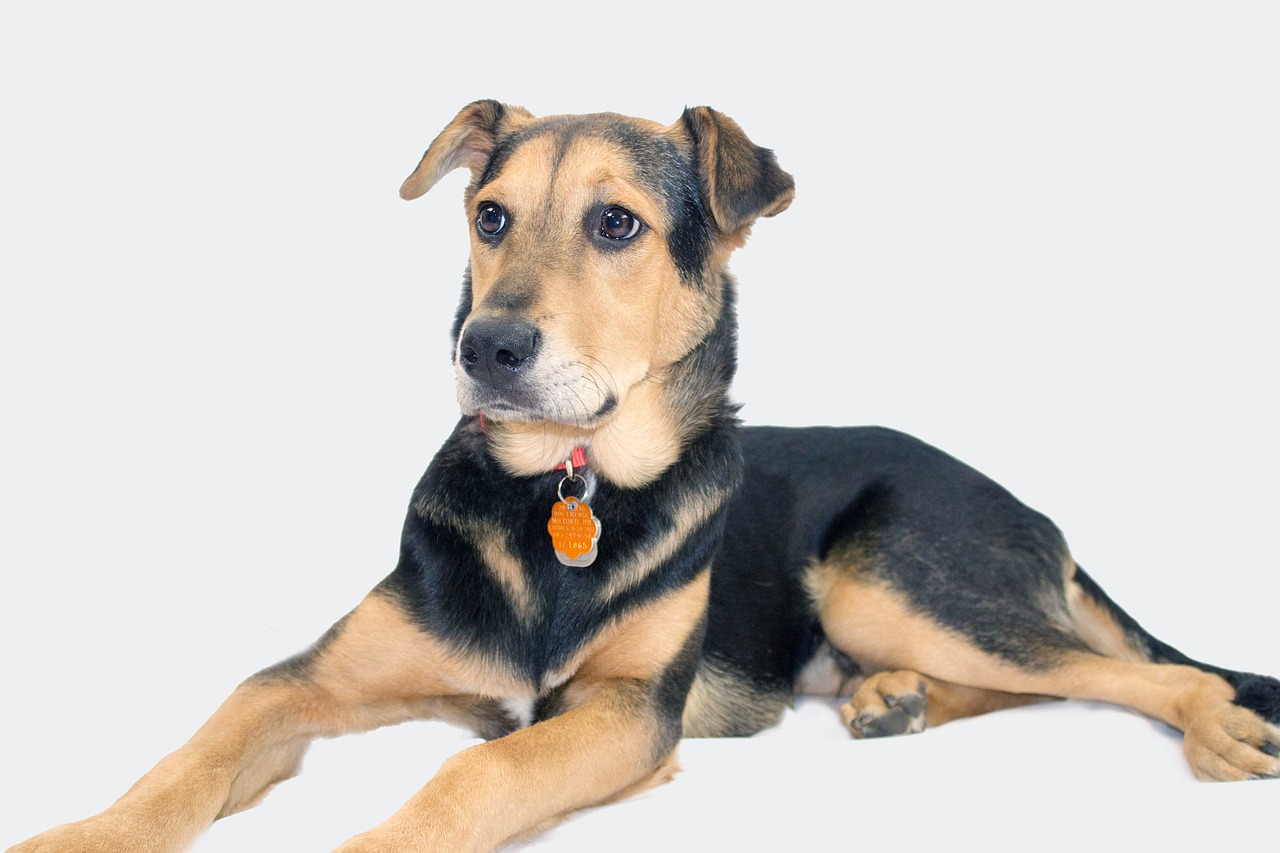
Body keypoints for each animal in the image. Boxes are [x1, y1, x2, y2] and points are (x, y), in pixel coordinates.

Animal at [10, 101, 1280, 850]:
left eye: (615, 224)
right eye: (488, 215)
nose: (485, 348)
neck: (560, 488)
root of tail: (1028, 502)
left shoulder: (624, 715)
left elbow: (474, 774)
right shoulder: (305, 681)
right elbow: (187, 755)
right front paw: (82, 836)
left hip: (883, 571)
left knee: (1123, 673)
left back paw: (1210, 726)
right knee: (1038, 677)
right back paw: (888, 698)